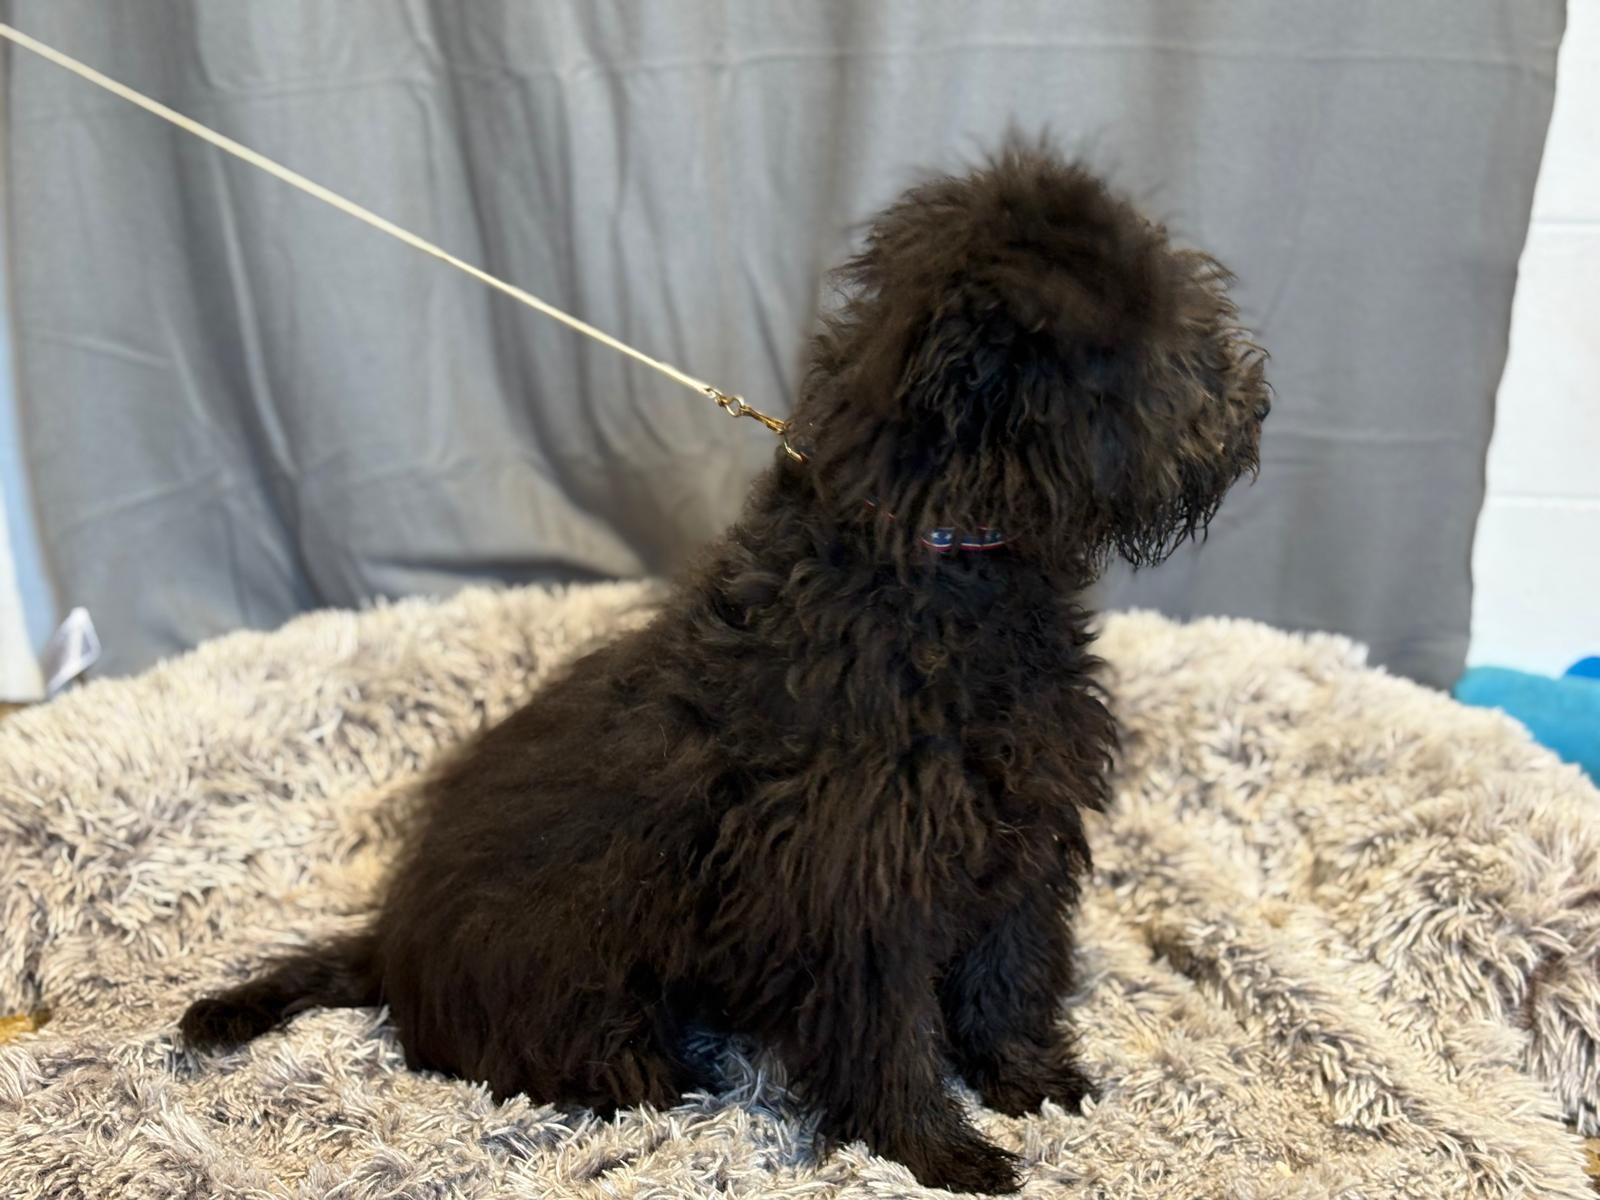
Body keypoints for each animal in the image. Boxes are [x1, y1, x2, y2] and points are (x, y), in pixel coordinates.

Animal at [182, 141, 1268, 1194]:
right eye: (1149, 343)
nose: (1252, 398)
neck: (935, 565)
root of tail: (387, 944)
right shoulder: (855, 884)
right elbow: (888, 1034)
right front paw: (936, 1151)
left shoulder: (1019, 827)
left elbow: (1006, 974)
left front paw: (1034, 1086)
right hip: (579, 1000)